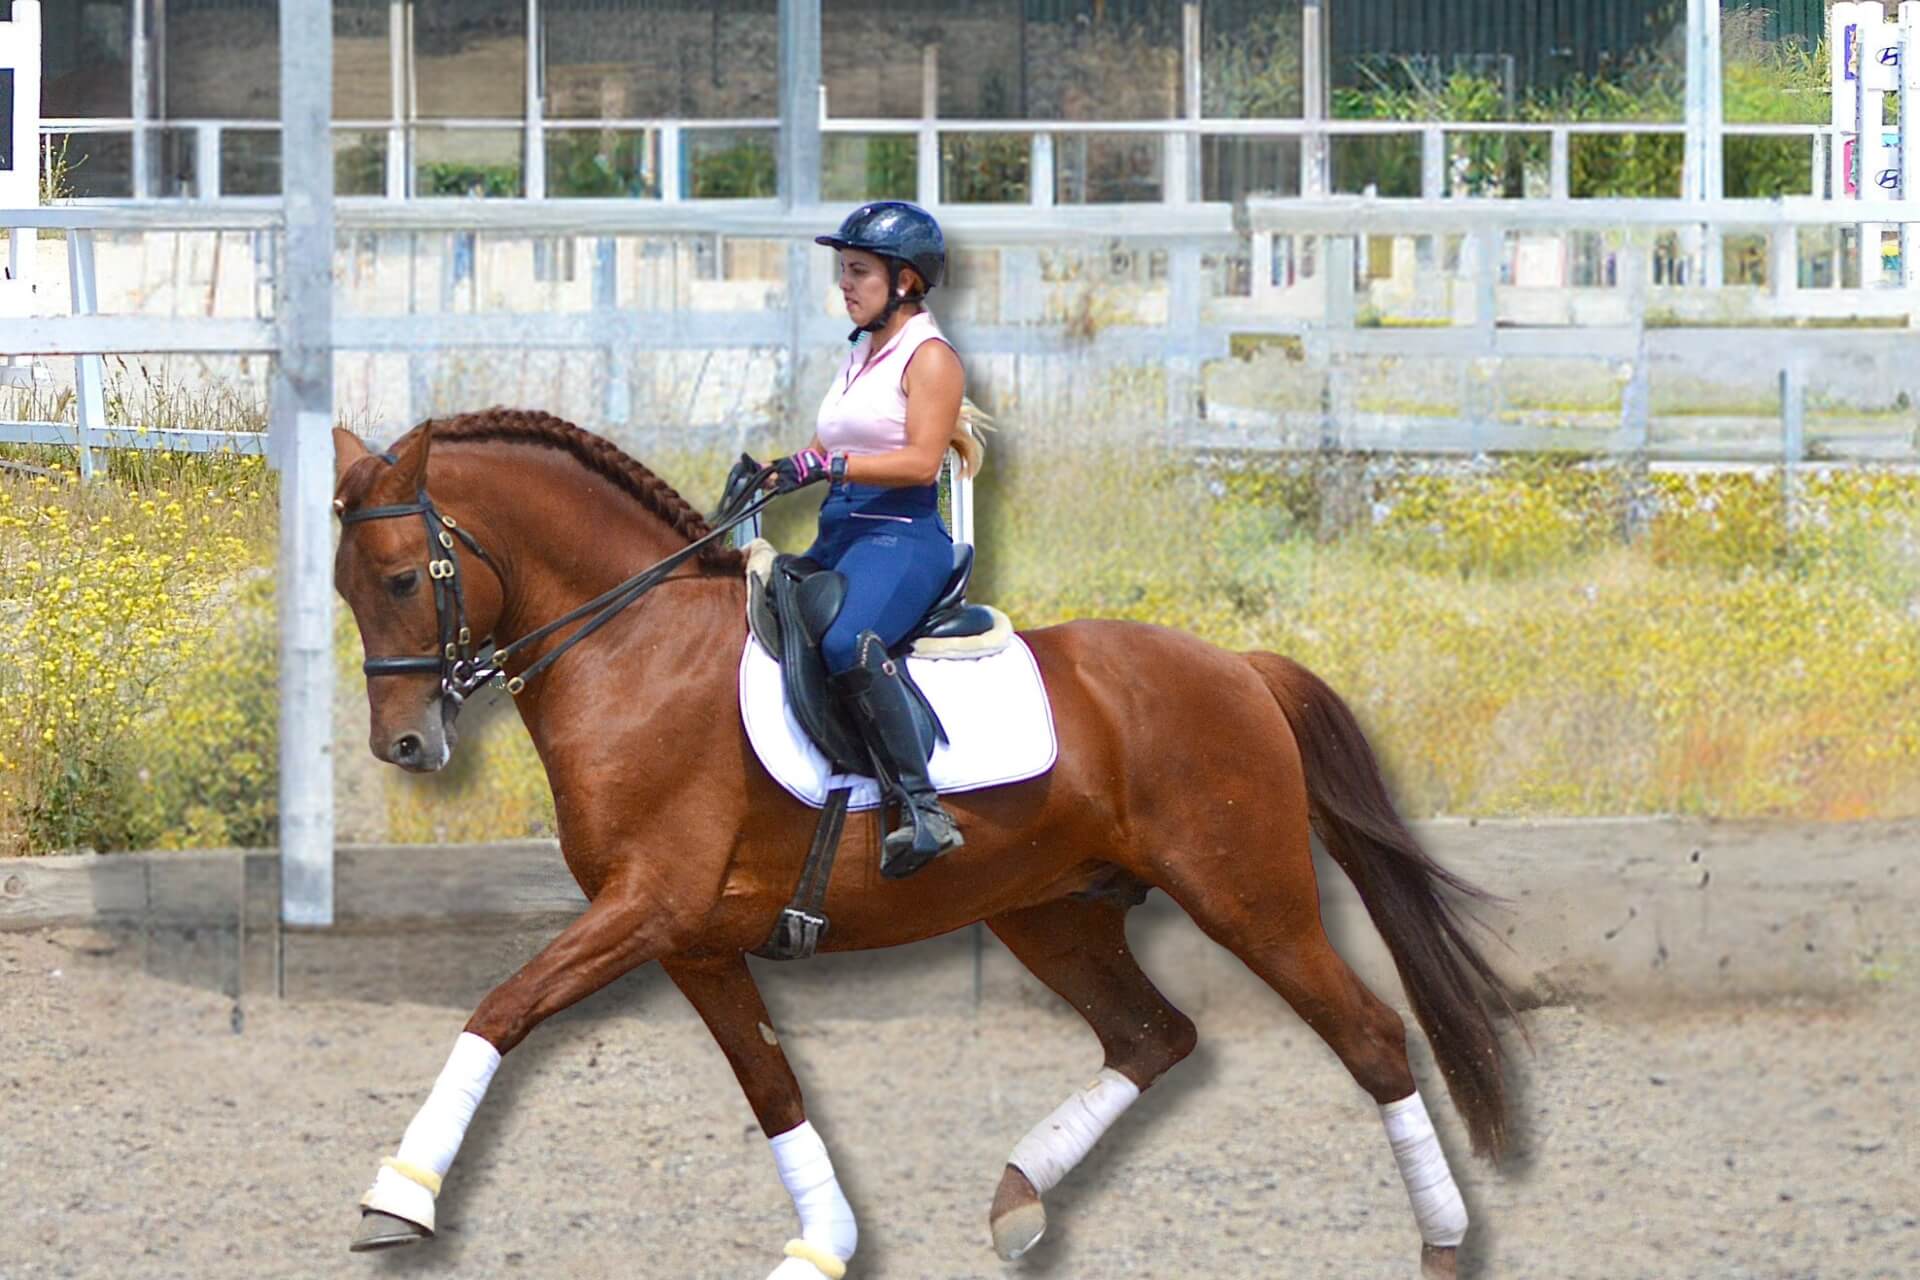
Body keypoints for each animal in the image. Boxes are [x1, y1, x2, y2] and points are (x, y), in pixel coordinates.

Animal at [337, 412, 1520, 1280]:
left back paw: (1443, 1241)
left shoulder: (648, 907)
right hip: (1053, 914)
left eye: (399, 579)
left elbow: (501, 1007)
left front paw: (400, 1196)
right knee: (1153, 1036)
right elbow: (775, 1090)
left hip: (1250, 900)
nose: (406, 744)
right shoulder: (693, 941)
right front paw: (824, 1246)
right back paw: (1018, 1198)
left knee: (1371, 1037)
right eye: (347, 588)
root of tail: (1239, 665)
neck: (633, 647)